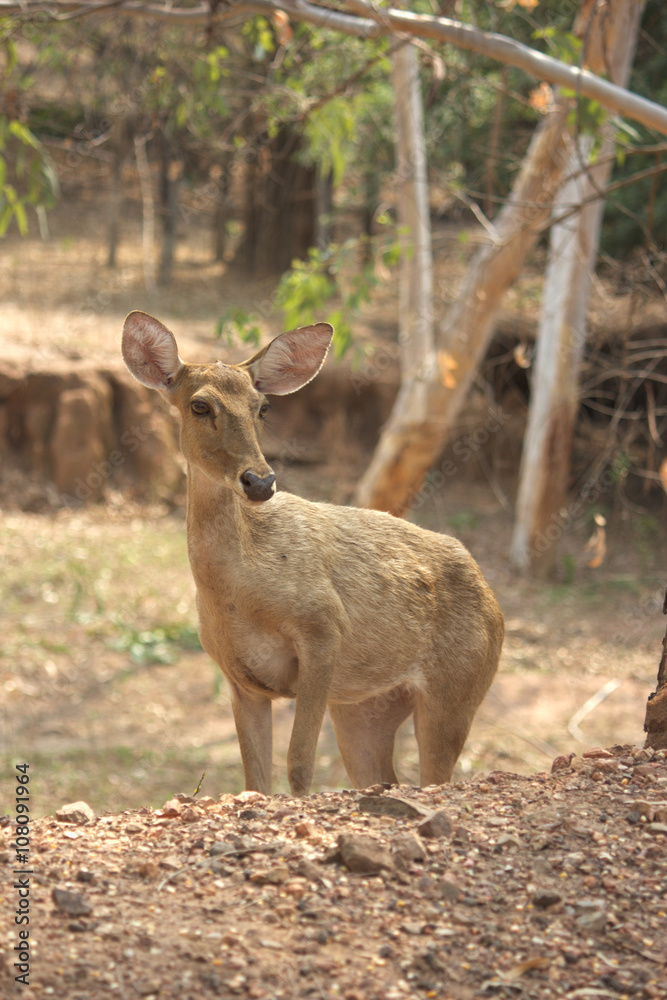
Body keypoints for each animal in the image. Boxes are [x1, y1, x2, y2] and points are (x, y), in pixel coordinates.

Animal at [122, 312, 504, 796]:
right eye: (200, 406)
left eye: (262, 407)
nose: (260, 482)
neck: (237, 595)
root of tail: (494, 603)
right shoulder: (238, 676)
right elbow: (254, 778)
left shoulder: (323, 625)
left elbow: (299, 763)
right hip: (365, 707)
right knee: (385, 777)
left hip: (456, 690)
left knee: (434, 775)